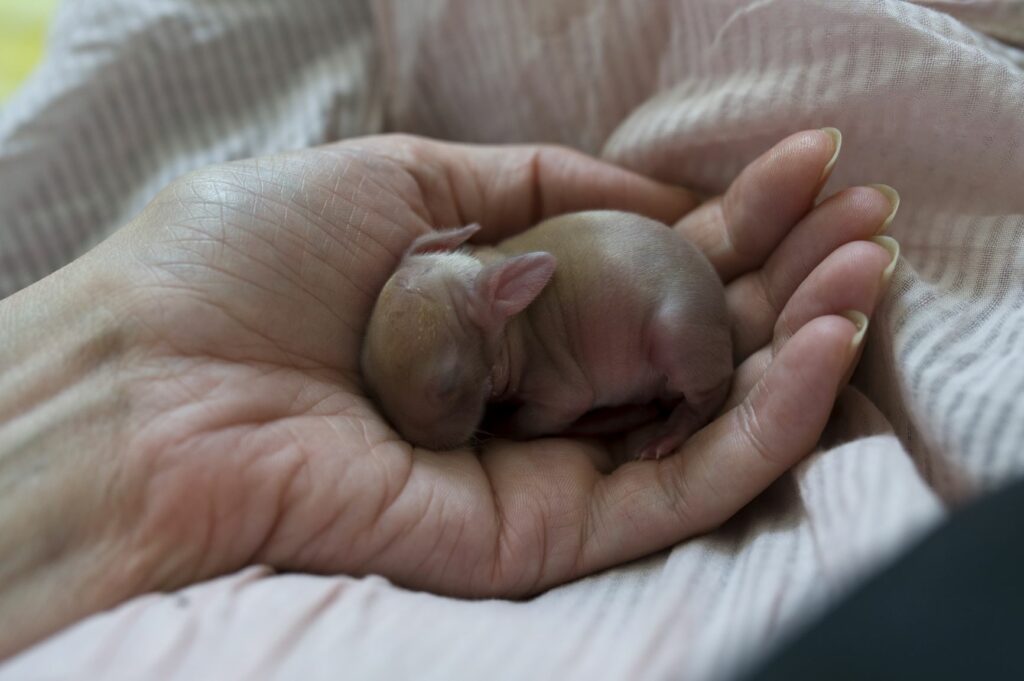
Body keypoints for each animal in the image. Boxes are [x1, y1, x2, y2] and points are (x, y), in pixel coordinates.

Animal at [360, 209, 729, 458]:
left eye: (448, 385)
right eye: (372, 383)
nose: (421, 443)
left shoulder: (553, 377)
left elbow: (551, 410)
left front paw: (503, 427)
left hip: (678, 334)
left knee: (705, 396)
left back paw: (665, 436)